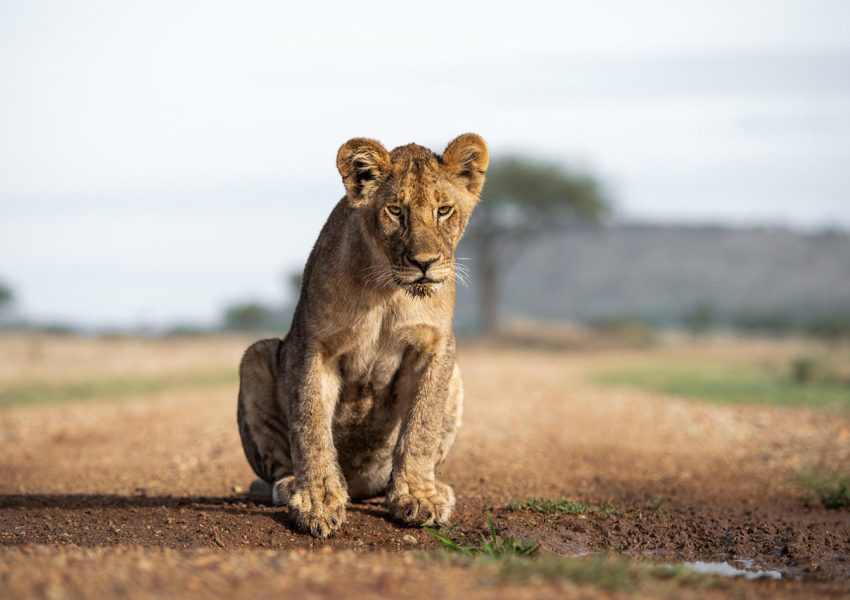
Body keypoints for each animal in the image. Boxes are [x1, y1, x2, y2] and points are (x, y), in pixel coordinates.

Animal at [236, 133, 489, 538]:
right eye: (396, 211)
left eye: (444, 210)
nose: (424, 263)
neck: (388, 290)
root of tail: (358, 486)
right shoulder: (313, 345)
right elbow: (310, 424)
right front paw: (317, 500)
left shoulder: (435, 347)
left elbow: (421, 427)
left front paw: (417, 495)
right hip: (255, 355)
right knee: (278, 468)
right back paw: (292, 486)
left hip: (456, 377)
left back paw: (427, 487)